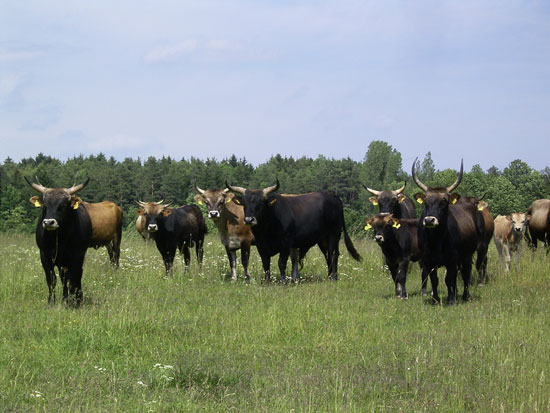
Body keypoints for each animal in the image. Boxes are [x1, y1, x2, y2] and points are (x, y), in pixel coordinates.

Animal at [25, 175, 123, 304]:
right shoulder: (45, 255)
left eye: (63, 205)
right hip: (106, 242)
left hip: (117, 237)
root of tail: (115, 205)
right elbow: (52, 279)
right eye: (45, 205)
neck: (58, 238)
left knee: (114, 257)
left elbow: (72, 278)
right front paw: (52, 301)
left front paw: (71, 300)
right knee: (110, 256)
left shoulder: (76, 254)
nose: (49, 222)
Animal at [225, 179, 362, 282]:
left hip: (334, 234)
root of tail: (334, 197)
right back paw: (330, 276)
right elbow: (266, 263)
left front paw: (283, 281)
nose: (249, 219)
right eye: (244, 203)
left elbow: (281, 263)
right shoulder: (261, 245)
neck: (267, 228)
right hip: (323, 239)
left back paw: (333, 278)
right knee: (328, 255)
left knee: (333, 254)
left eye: (262, 202)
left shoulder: (286, 243)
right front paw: (267, 281)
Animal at [412, 159, 480, 304]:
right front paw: (435, 299)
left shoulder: (452, 259)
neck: (436, 240)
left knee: (465, 274)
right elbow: (435, 280)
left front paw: (451, 300)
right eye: (425, 202)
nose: (429, 220)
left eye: (443, 202)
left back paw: (464, 296)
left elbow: (449, 279)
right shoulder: (428, 260)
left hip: (467, 256)